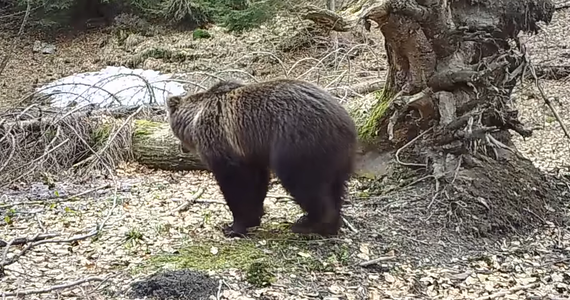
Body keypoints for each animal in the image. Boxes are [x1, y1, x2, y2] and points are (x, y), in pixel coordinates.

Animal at [164, 78, 358, 238]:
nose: (181, 148)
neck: (195, 119)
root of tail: (345, 122)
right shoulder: (251, 152)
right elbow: (257, 182)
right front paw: (252, 218)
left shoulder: (223, 144)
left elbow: (236, 184)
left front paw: (234, 227)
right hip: (336, 156)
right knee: (335, 186)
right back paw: (325, 223)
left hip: (298, 143)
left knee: (304, 183)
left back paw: (311, 225)